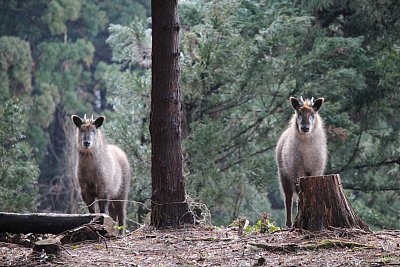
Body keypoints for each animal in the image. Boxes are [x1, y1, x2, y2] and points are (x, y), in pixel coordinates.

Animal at [276, 97, 328, 227]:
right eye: (299, 113)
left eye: (312, 114)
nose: (305, 128)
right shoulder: (296, 171)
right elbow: (298, 194)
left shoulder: (316, 170)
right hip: (283, 175)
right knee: (288, 198)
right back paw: (289, 223)